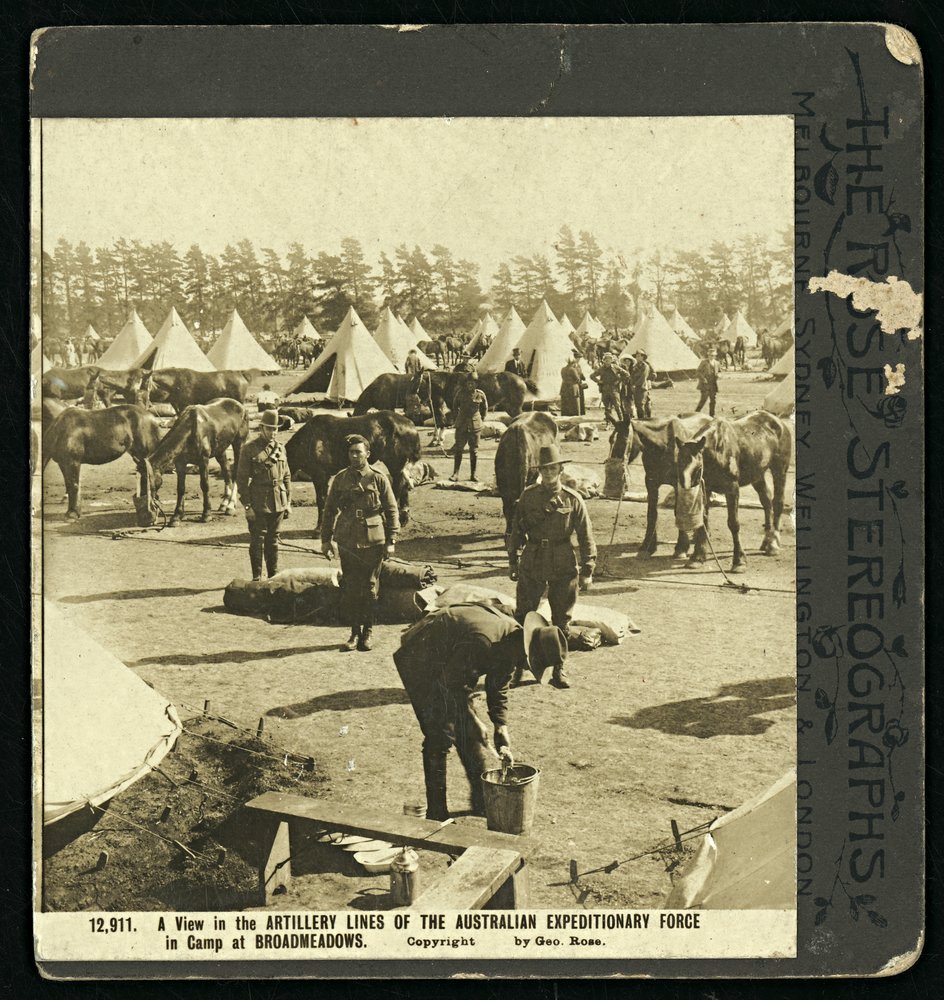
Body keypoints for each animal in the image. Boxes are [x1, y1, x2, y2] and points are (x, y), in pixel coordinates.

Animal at [142, 396, 249, 528]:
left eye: (147, 481)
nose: (146, 517)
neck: (191, 429)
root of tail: (240, 406)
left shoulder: (203, 461)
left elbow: (205, 485)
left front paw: (206, 514)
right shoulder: (180, 463)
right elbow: (181, 488)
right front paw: (176, 517)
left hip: (239, 445)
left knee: (235, 473)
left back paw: (230, 506)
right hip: (220, 450)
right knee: (226, 471)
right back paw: (224, 503)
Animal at [282, 408, 422, 532]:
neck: (308, 440)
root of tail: (411, 424)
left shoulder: (320, 476)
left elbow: (321, 501)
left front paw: (319, 529)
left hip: (395, 464)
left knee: (398, 488)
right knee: (404, 485)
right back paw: (403, 518)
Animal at [676, 410, 792, 572]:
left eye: (698, 467)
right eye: (678, 463)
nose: (686, 487)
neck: (717, 450)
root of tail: (778, 421)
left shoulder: (732, 488)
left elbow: (733, 523)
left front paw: (739, 561)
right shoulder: (706, 489)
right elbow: (703, 522)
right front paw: (698, 557)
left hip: (779, 470)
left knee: (778, 503)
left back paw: (773, 544)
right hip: (757, 475)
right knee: (766, 501)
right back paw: (766, 542)